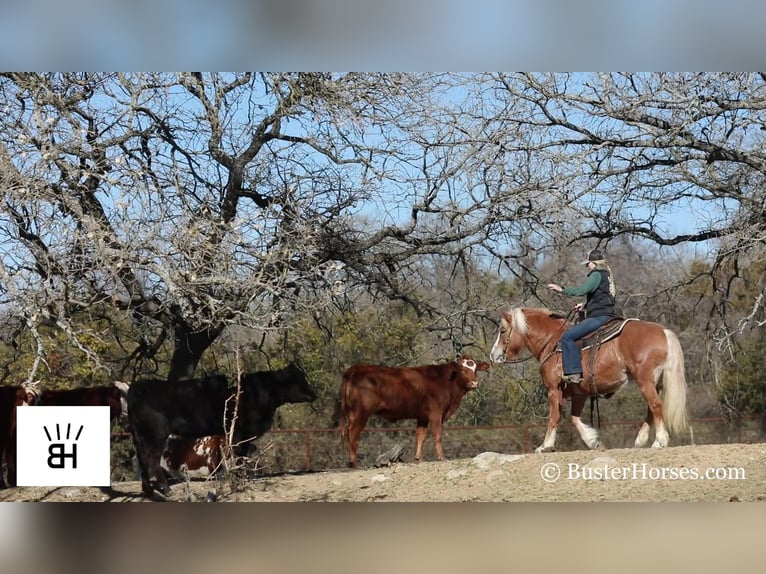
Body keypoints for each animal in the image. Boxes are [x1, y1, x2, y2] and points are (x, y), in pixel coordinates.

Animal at [127, 366, 316, 498]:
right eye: (298, 380)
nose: (314, 394)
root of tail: (137, 387)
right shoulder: (240, 433)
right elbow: (239, 457)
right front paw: (239, 482)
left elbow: (243, 457)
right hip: (156, 434)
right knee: (151, 460)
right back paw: (166, 490)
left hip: (140, 437)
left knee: (142, 459)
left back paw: (149, 491)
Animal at [488, 308, 692, 456]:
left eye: (503, 330)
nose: (493, 355)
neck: (552, 342)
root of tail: (663, 331)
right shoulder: (579, 393)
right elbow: (574, 418)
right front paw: (594, 442)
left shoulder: (553, 389)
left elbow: (554, 417)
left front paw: (545, 446)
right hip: (655, 383)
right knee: (651, 408)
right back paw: (641, 439)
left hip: (645, 381)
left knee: (655, 406)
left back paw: (660, 440)